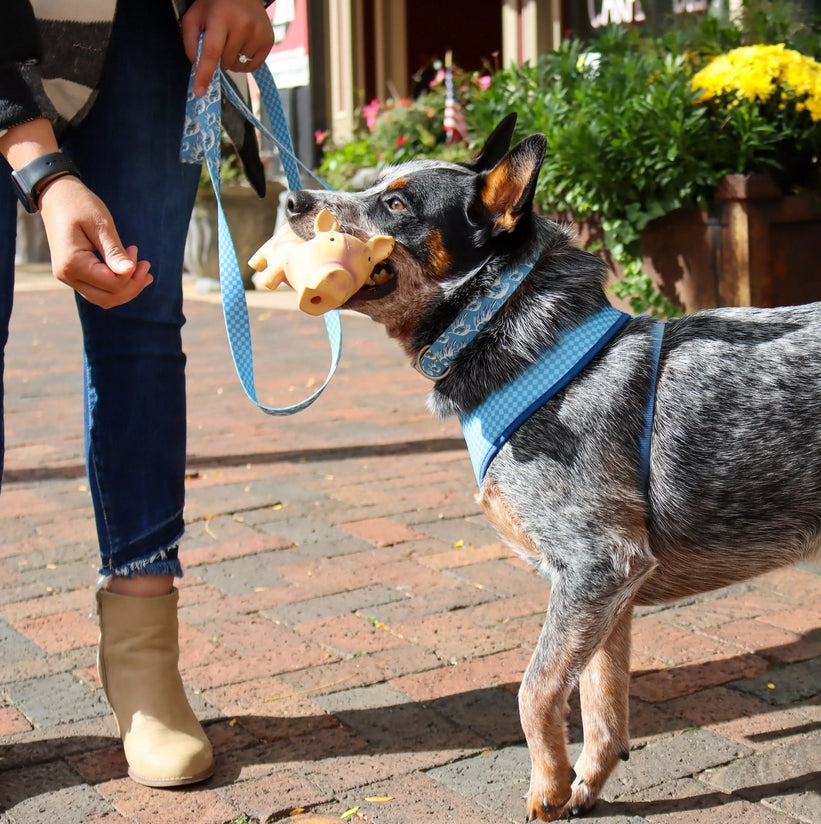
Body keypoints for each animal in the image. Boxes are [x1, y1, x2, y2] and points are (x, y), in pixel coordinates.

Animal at [274, 114, 812, 816]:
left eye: (395, 204)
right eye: (368, 183)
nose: (290, 199)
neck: (523, 344)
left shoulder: (598, 564)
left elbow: (534, 693)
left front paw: (548, 787)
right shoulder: (611, 592)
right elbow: (602, 704)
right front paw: (583, 785)